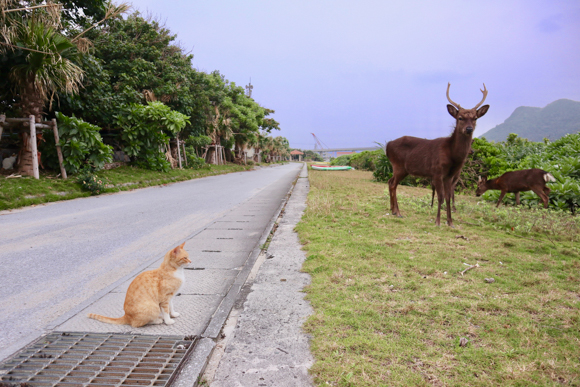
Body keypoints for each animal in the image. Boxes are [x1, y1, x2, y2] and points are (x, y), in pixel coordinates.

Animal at [386, 83, 490, 226]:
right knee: (393, 184)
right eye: (460, 118)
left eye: (475, 118)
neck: (452, 155)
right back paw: (398, 212)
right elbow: (440, 197)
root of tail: (387, 146)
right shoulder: (436, 171)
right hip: (399, 166)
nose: (469, 129)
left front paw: (450, 222)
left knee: (390, 182)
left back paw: (393, 210)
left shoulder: (449, 176)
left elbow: (448, 197)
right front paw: (438, 221)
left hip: (401, 168)